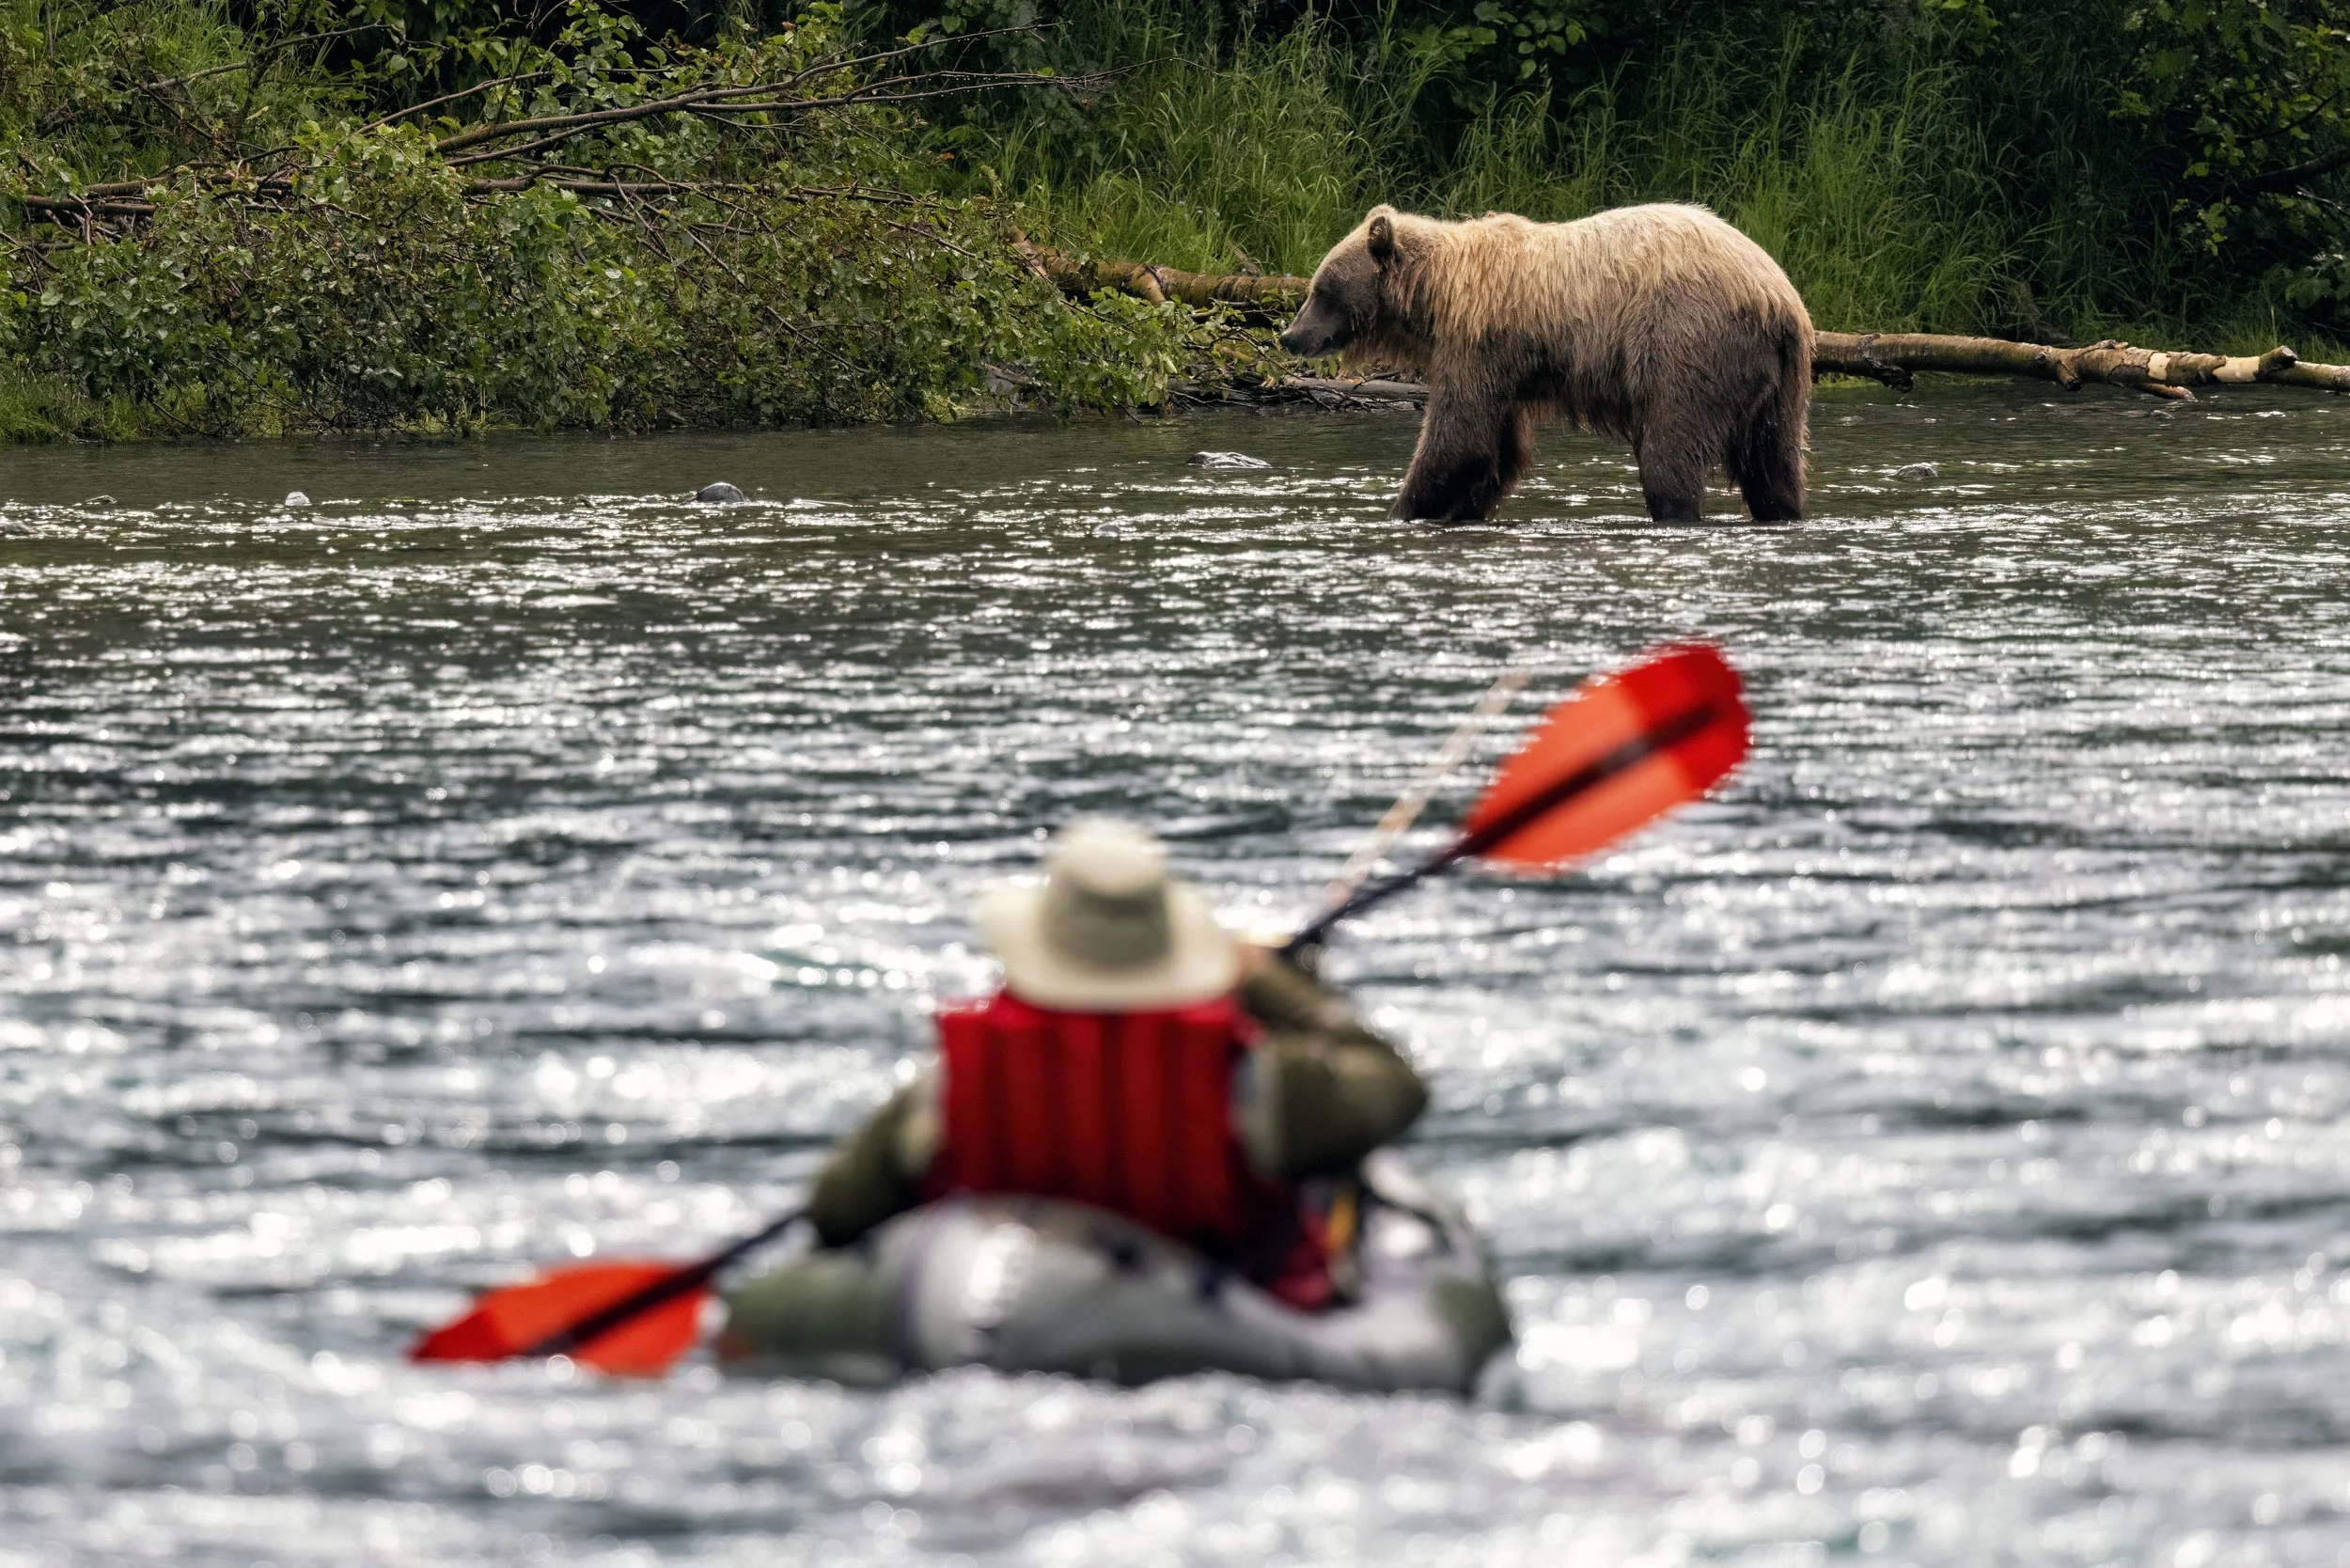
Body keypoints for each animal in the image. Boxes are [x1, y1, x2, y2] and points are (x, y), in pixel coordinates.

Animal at [1277, 203, 1813, 524]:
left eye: (1320, 289)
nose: (1290, 336)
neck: (1436, 295)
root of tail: (1779, 297)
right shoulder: (1505, 369)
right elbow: (1495, 450)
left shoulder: (1477, 344)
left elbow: (1457, 439)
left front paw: (1403, 508)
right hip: (1778, 382)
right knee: (1773, 463)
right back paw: (1783, 510)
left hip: (1688, 341)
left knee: (1671, 447)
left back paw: (1675, 509)